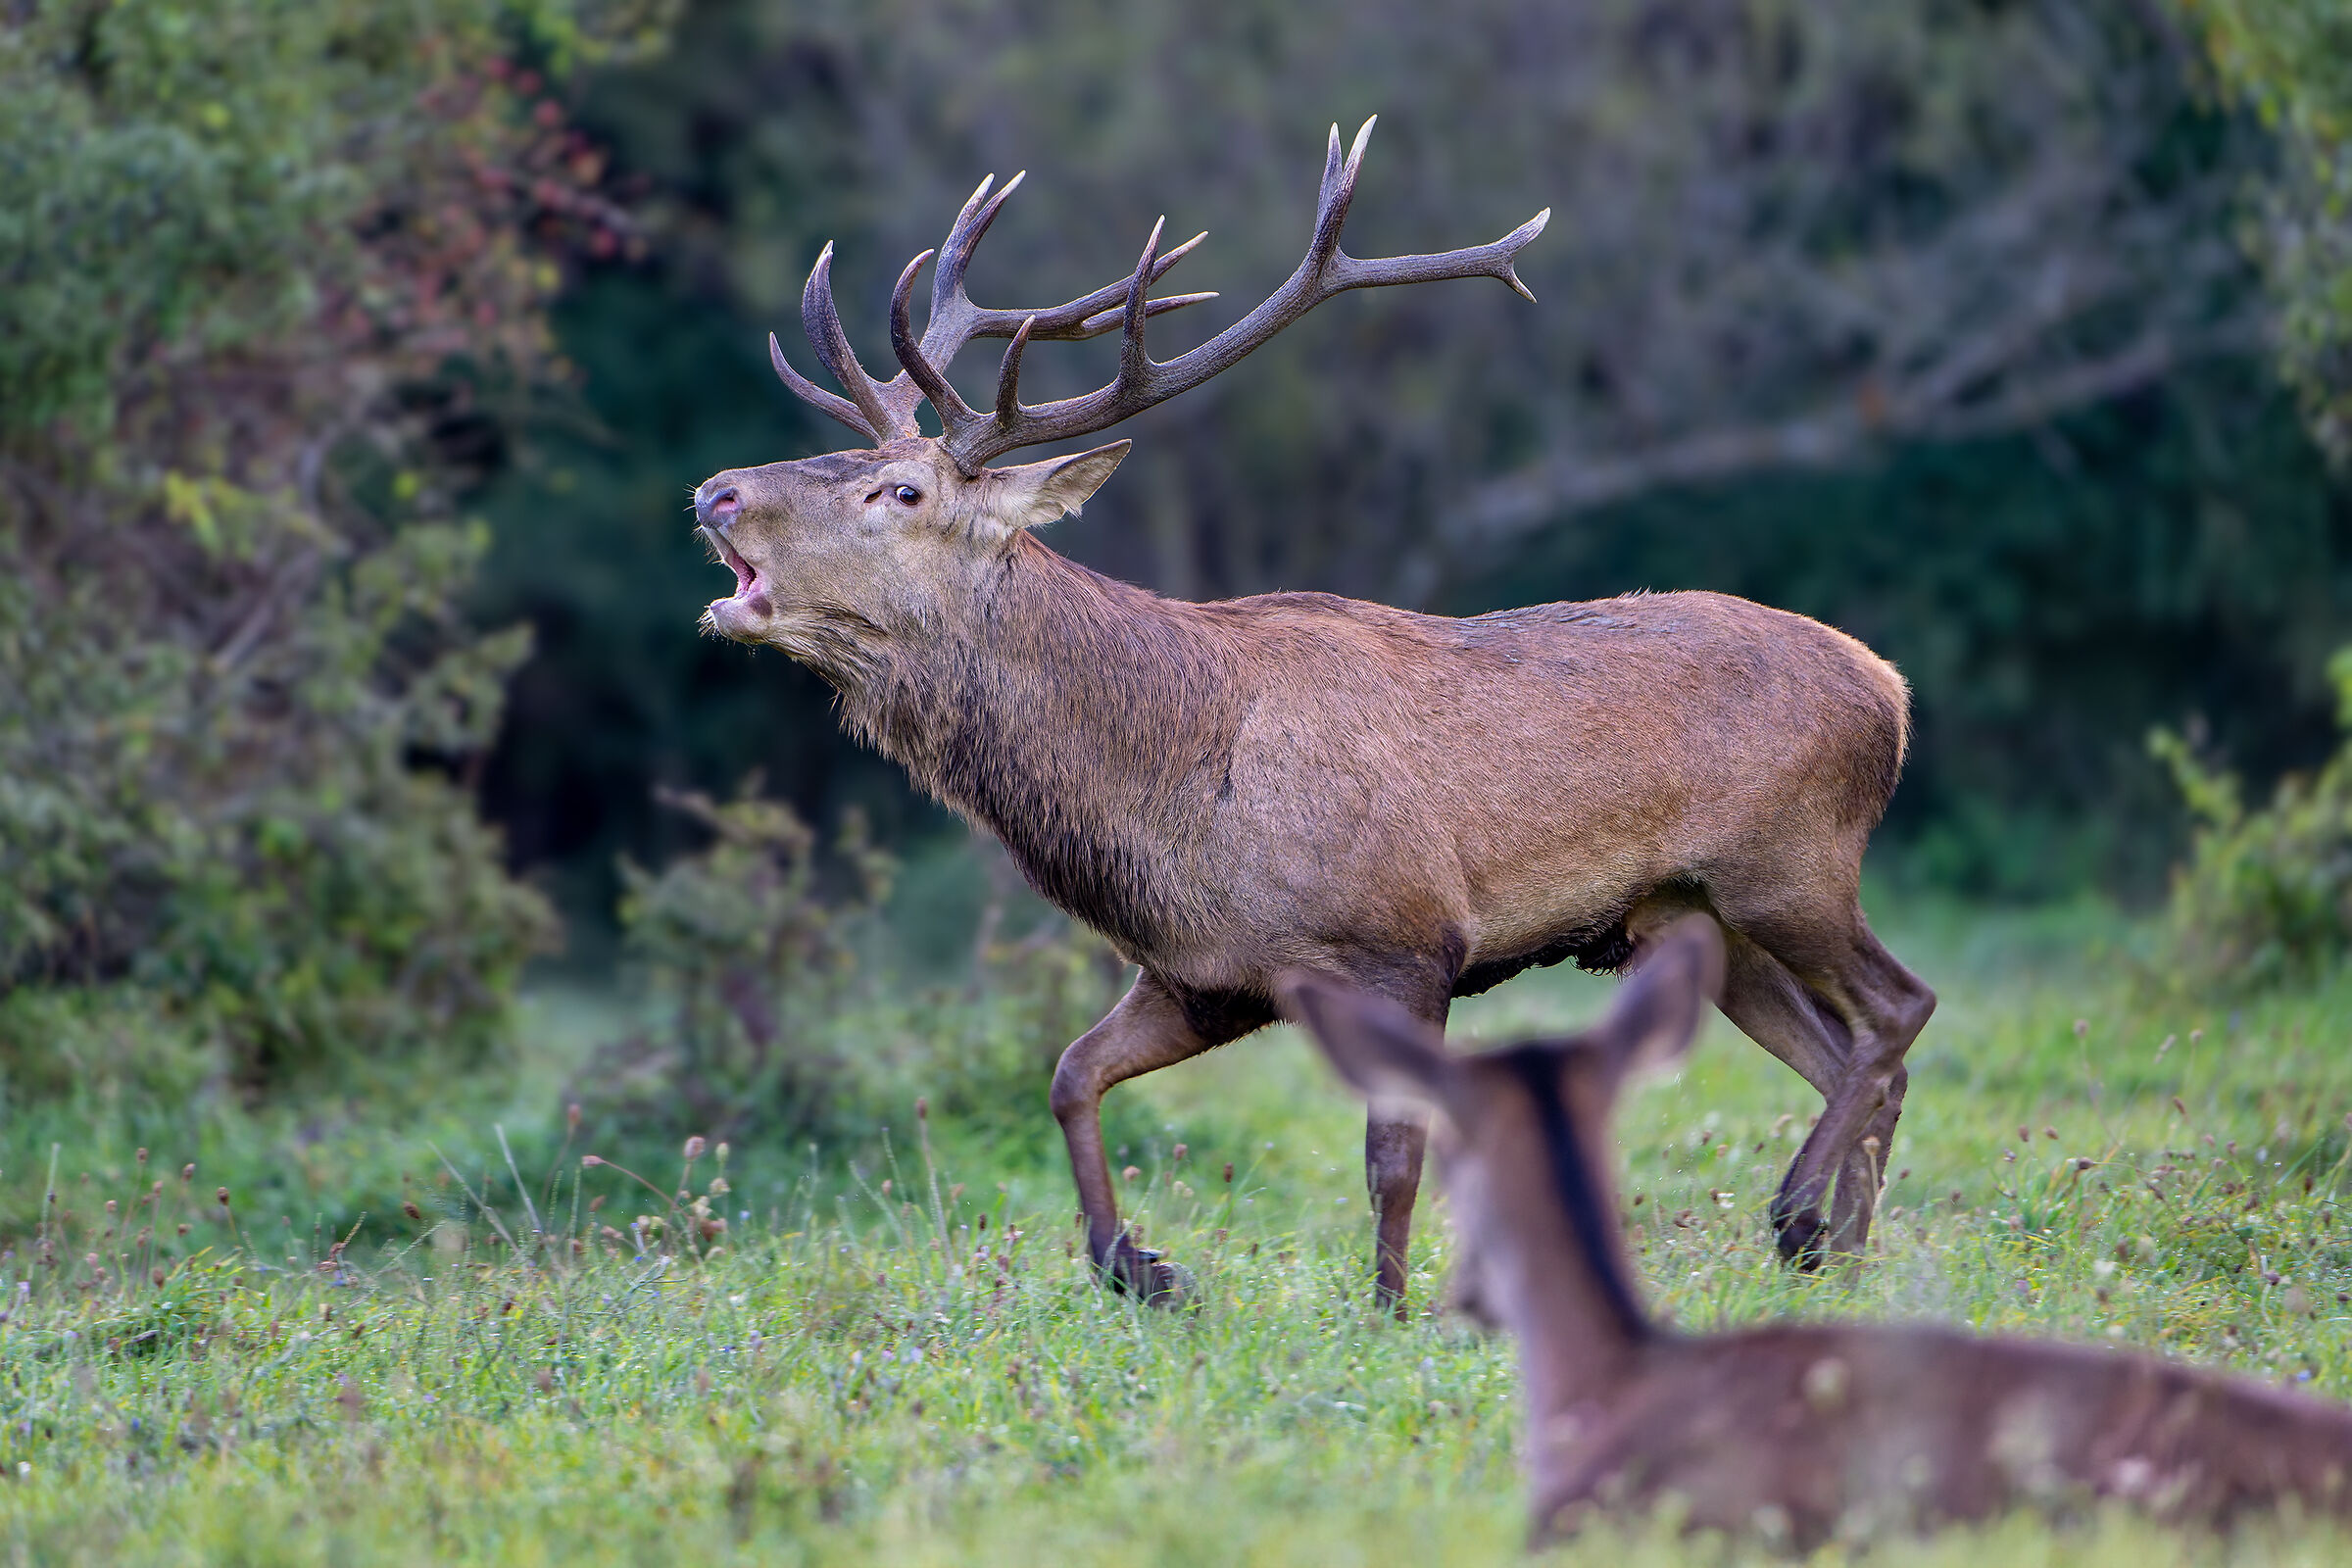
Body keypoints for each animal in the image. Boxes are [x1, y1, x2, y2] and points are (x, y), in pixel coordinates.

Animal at [690, 118, 1936, 1309]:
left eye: (900, 490)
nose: (716, 490)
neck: (1169, 790)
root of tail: (1889, 685)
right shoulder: (1202, 975)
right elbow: (1069, 1073)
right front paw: (1138, 1267)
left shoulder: (1405, 941)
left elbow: (1394, 1156)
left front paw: (1386, 1308)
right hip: (1698, 918)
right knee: (1847, 1050)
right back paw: (1849, 1251)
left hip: (1788, 864)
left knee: (1900, 1010)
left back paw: (1801, 1221)